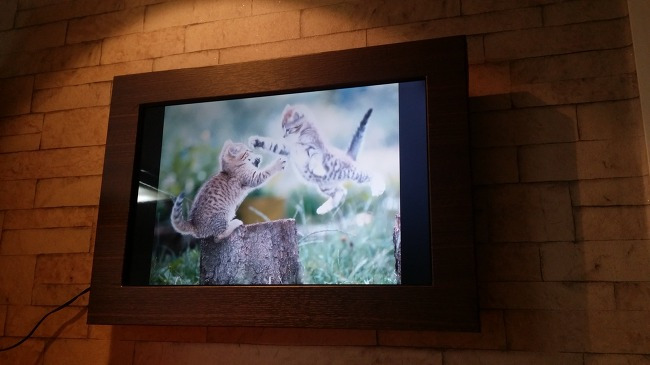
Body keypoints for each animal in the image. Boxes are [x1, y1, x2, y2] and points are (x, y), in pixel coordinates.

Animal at [247, 103, 380, 213]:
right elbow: (273, 145)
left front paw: (317, 169)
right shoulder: (287, 149)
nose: (284, 136)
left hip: (349, 172)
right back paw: (324, 208)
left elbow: (315, 158)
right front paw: (256, 141)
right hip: (325, 186)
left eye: (288, 129)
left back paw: (378, 188)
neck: (300, 135)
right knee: (341, 191)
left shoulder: (315, 148)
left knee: (371, 174)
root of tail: (348, 156)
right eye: (282, 128)